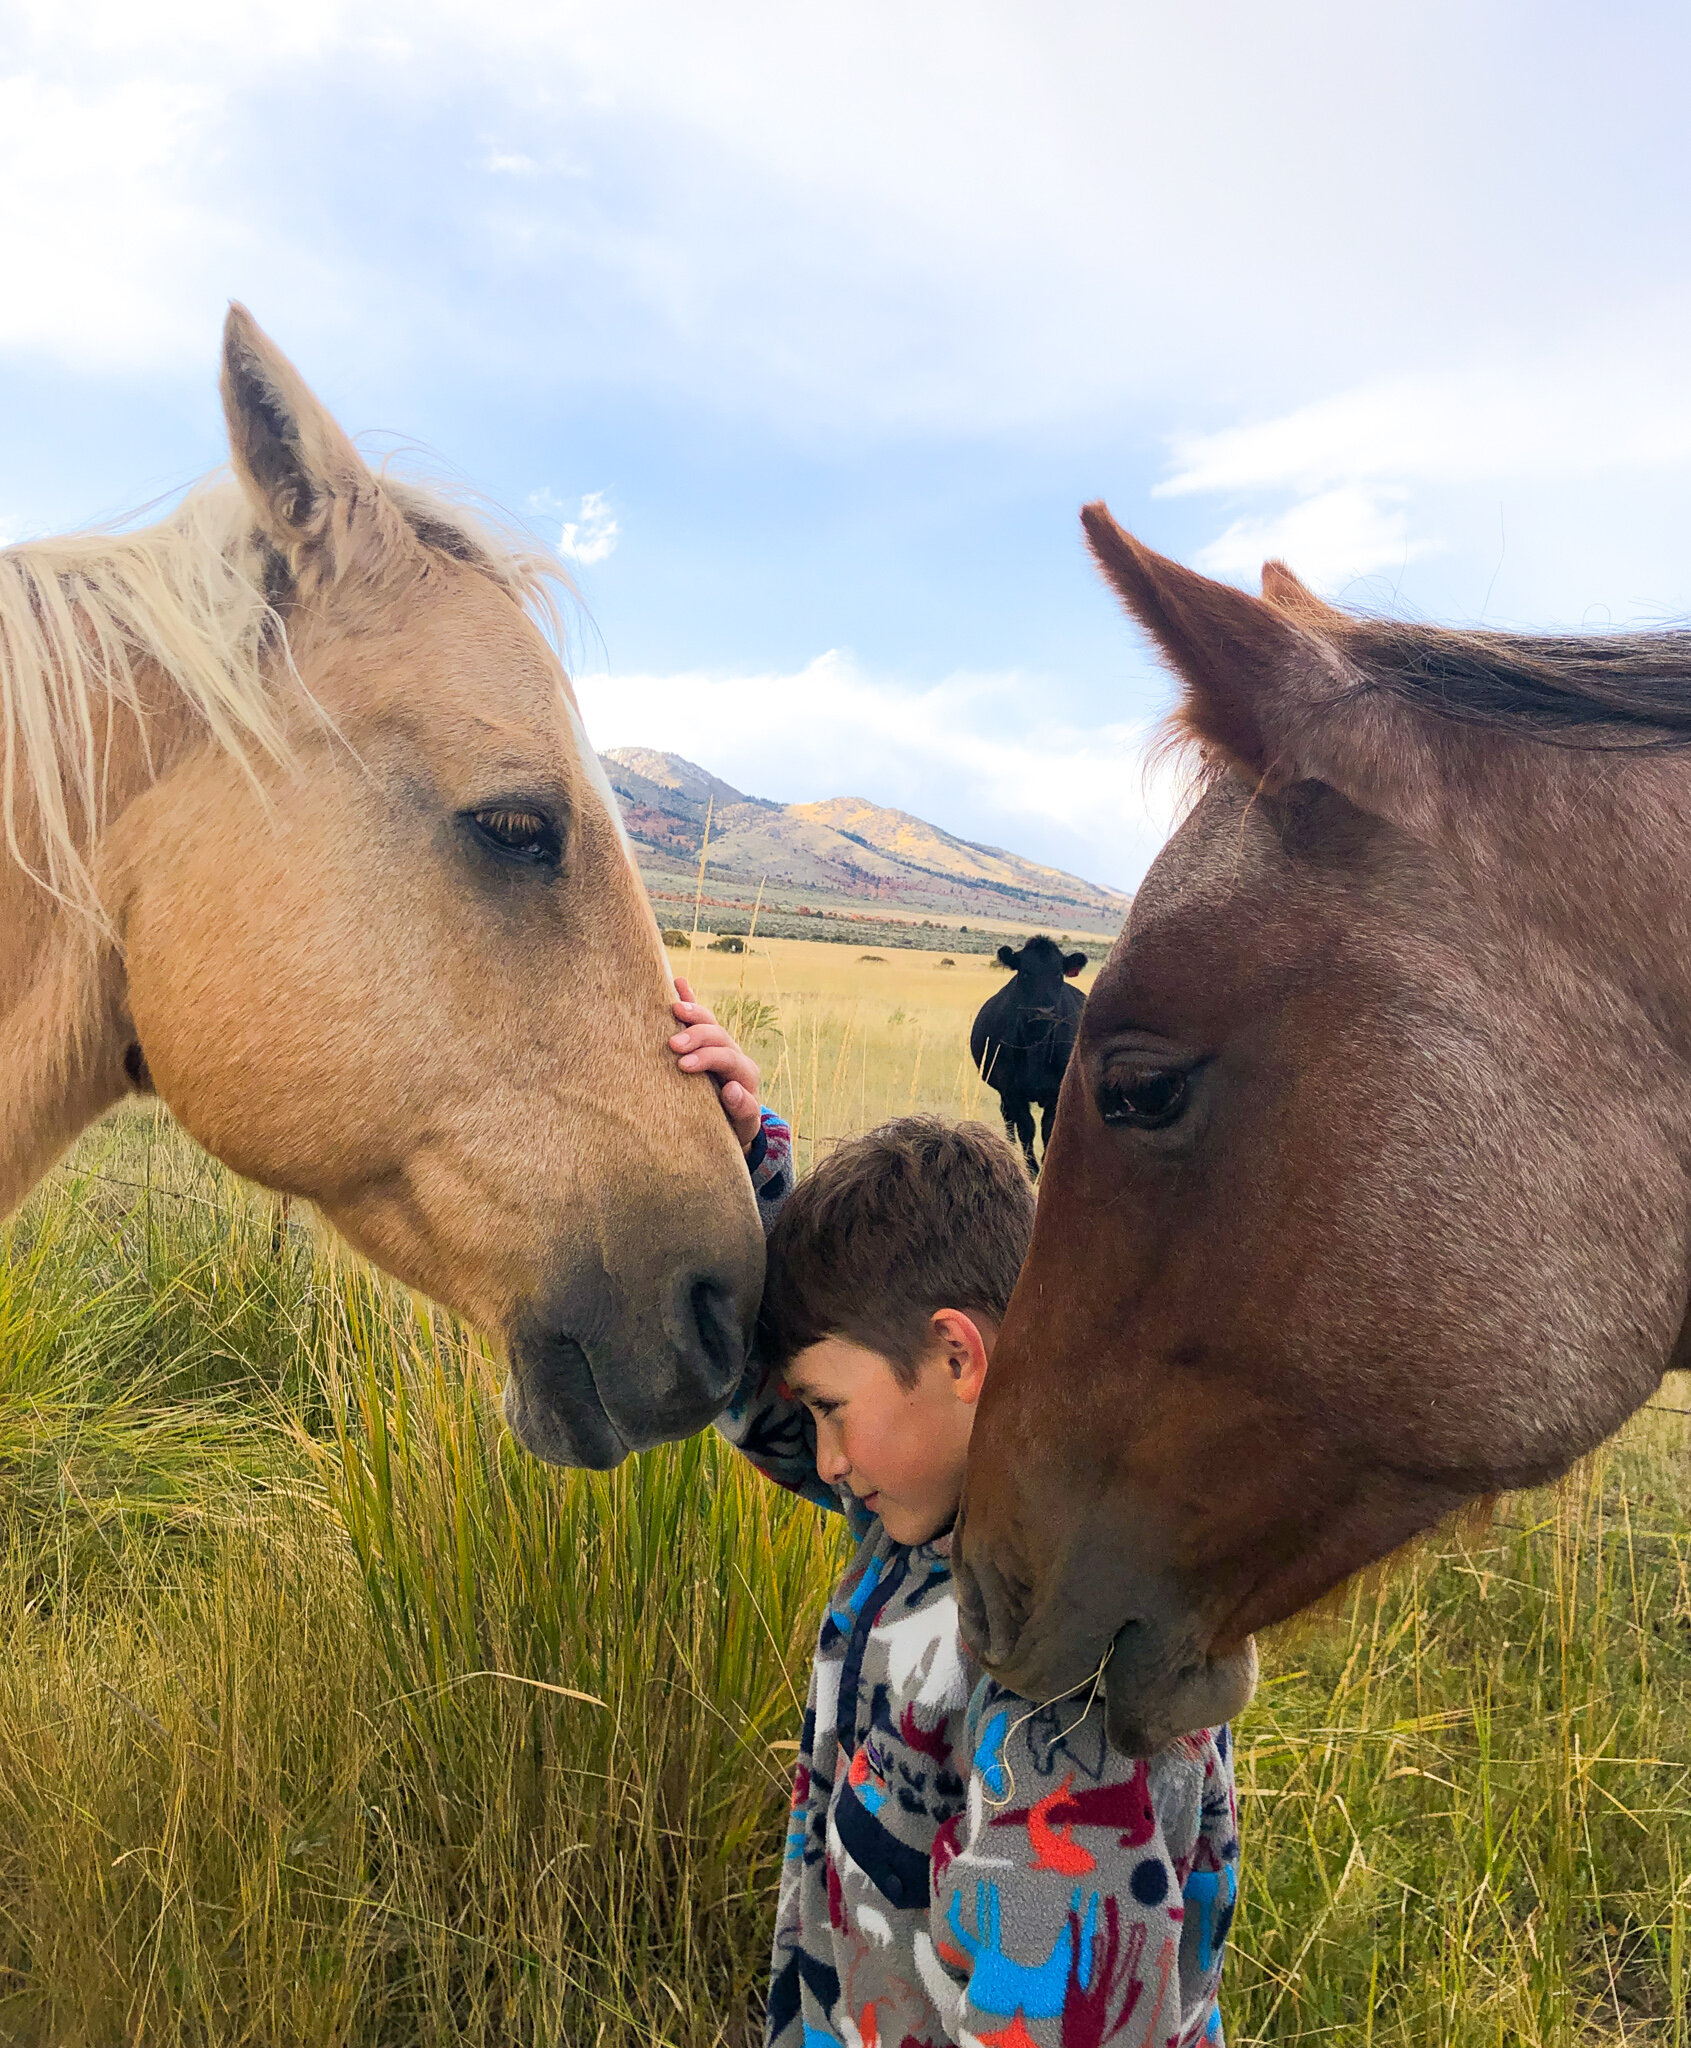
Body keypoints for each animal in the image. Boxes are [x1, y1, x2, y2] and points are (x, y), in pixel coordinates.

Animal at [970, 937, 1089, 1179]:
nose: (1044, 1012)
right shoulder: (1011, 1090)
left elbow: (1048, 1127)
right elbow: (1027, 1126)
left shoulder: (1057, 1091)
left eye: (1058, 974)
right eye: (1025, 973)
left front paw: (1046, 1165)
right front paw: (1031, 1168)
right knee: (1008, 1118)